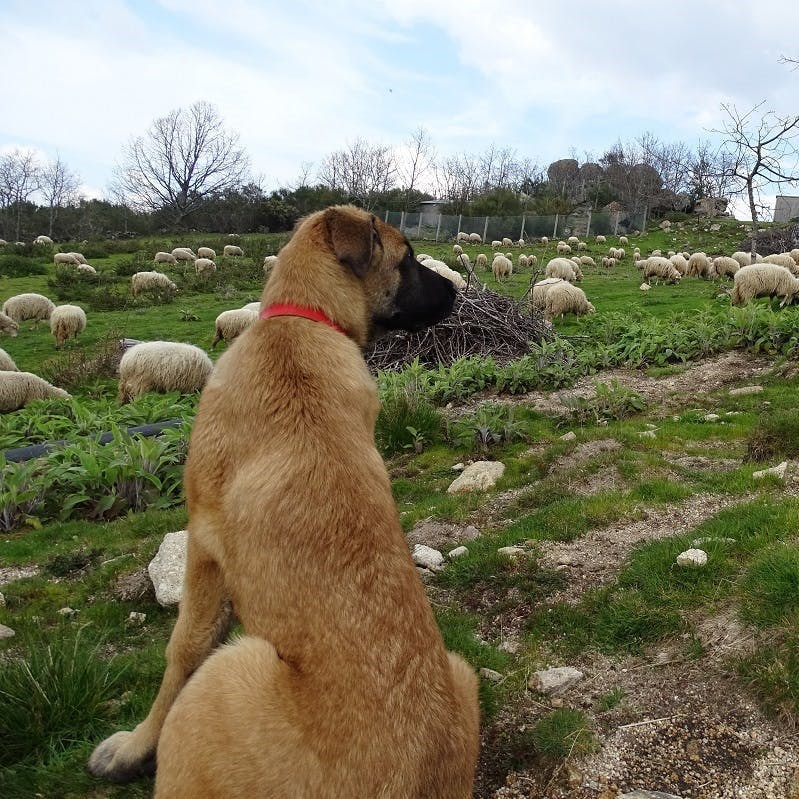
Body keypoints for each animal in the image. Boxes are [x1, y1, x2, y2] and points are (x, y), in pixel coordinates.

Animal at [94, 208, 482, 799]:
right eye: (409, 258)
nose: (459, 293)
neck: (303, 320)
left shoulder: (204, 545)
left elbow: (182, 652)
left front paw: (134, 748)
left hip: (231, 669)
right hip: (460, 671)